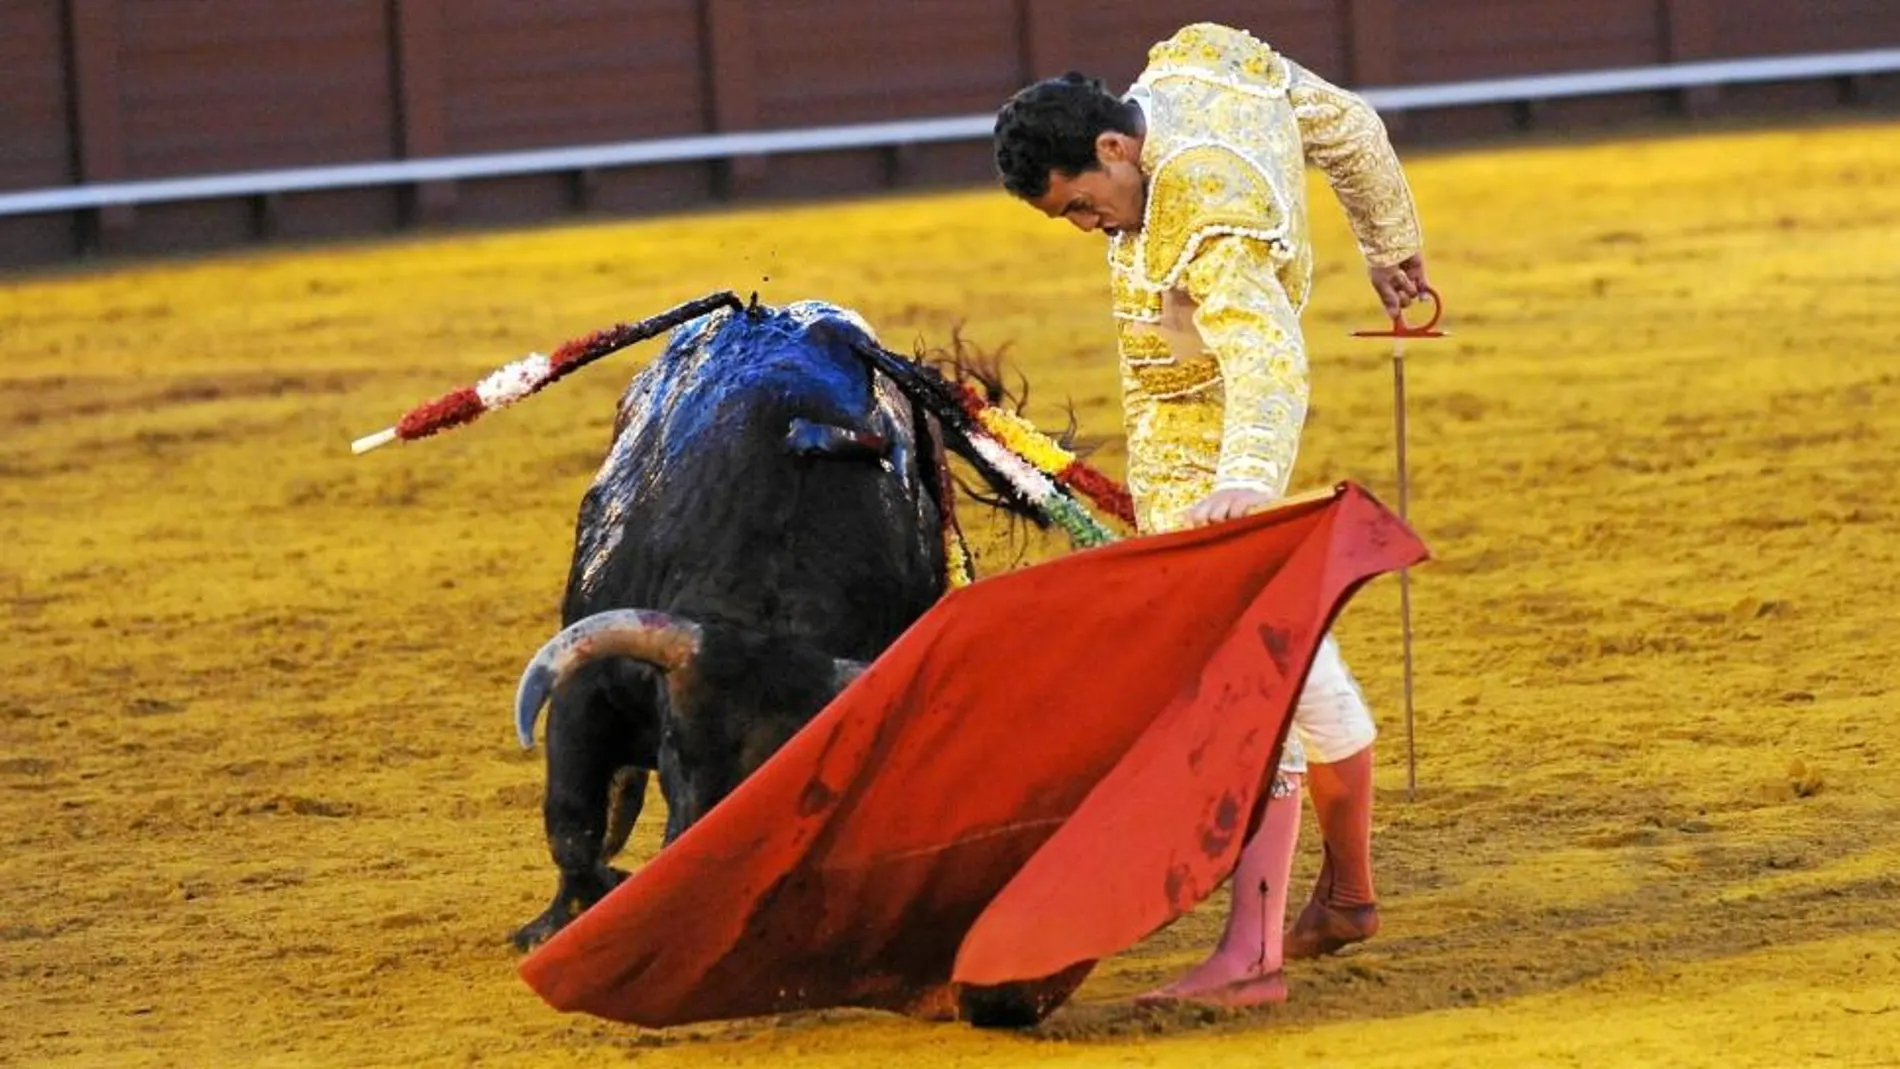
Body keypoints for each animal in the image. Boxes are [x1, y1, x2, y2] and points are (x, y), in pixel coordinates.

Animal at [509, 294, 1041, 953]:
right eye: (677, 746)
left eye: (805, 788)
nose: (693, 897)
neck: (764, 598)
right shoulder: (587, 688)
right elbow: (572, 825)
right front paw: (562, 920)